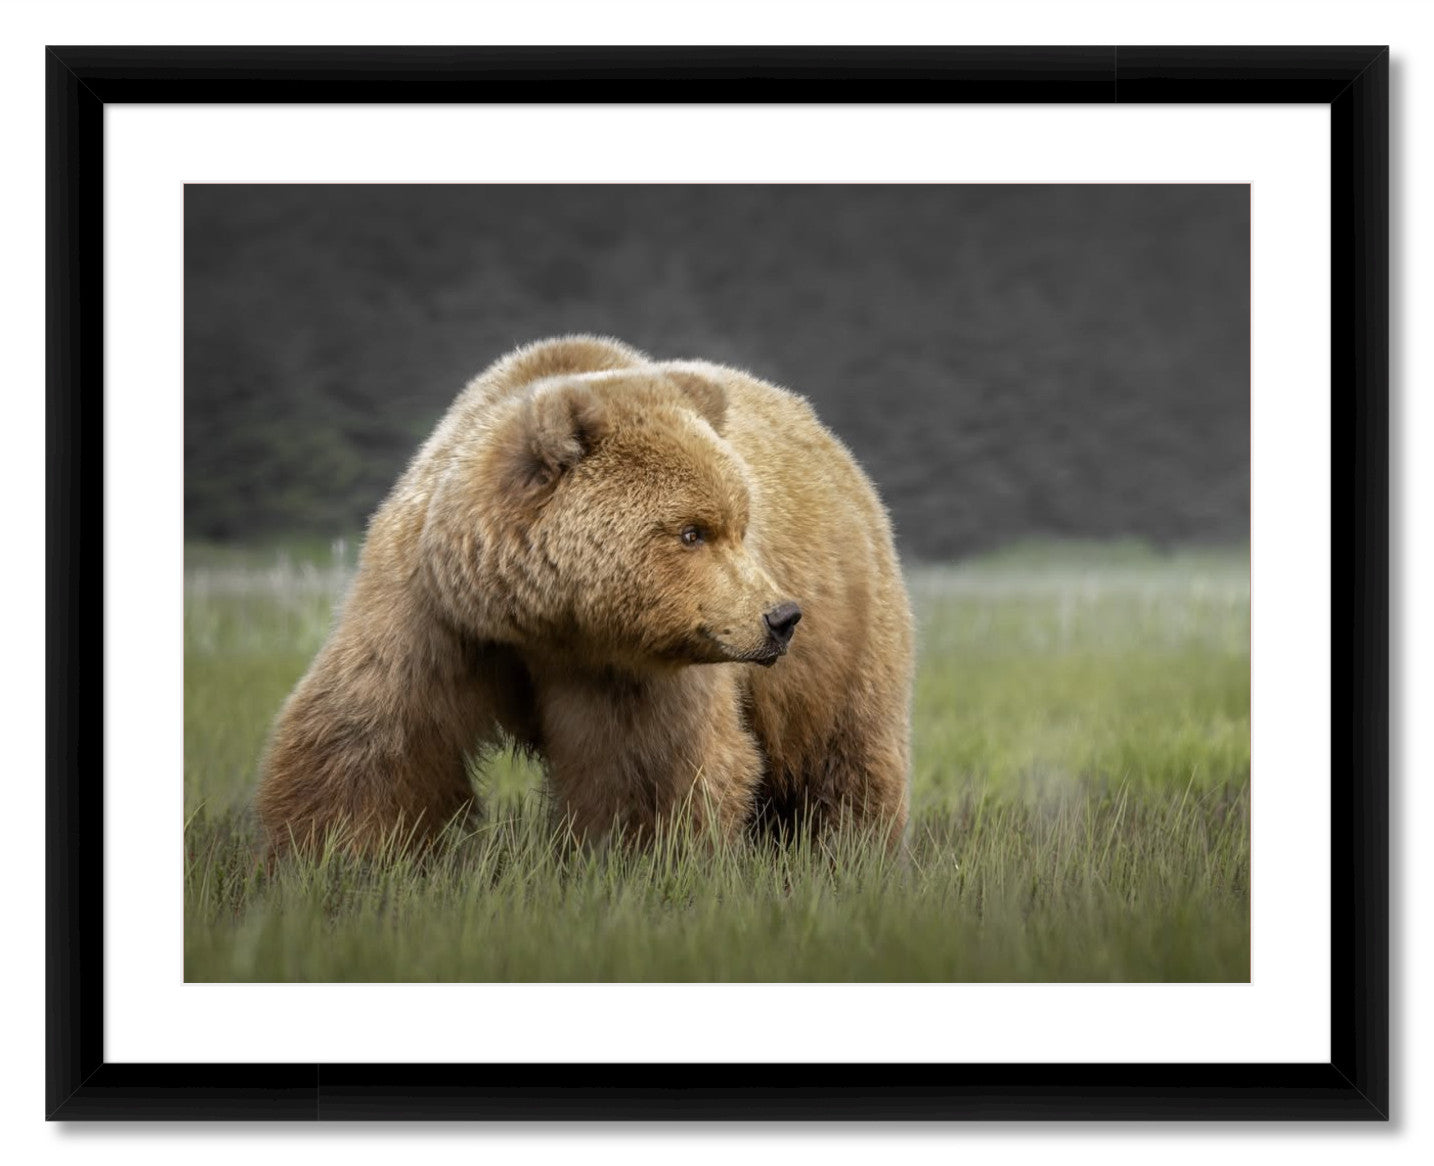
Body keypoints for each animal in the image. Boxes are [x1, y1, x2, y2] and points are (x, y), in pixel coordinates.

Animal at [255, 336, 914, 857]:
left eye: (740, 526)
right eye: (692, 532)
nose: (780, 616)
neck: (540, 619)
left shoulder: (630, 669)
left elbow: (649, 770)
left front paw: (640, 861)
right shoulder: (434, 611)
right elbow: (370, 739)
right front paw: (331, 858)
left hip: (847, 636)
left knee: (845, 756)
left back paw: (850, 852)